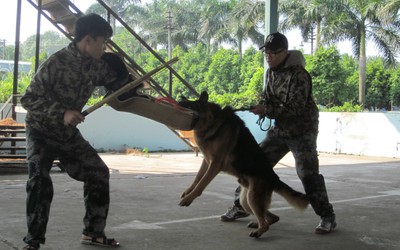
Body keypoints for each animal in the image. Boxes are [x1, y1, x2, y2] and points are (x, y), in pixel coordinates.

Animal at [178, 91, 310, 238]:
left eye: (189, 106)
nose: (176, 105)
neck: (211, 122)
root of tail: (274, 178)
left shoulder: (215, 164)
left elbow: (202, 183)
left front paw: (189, 198)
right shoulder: (206, 161)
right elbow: (197, 178)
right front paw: (188, 191)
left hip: (252, 198)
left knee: (265, 220)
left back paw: (259, 231)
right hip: (246, 201)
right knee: (272, 216)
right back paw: (258, 224)